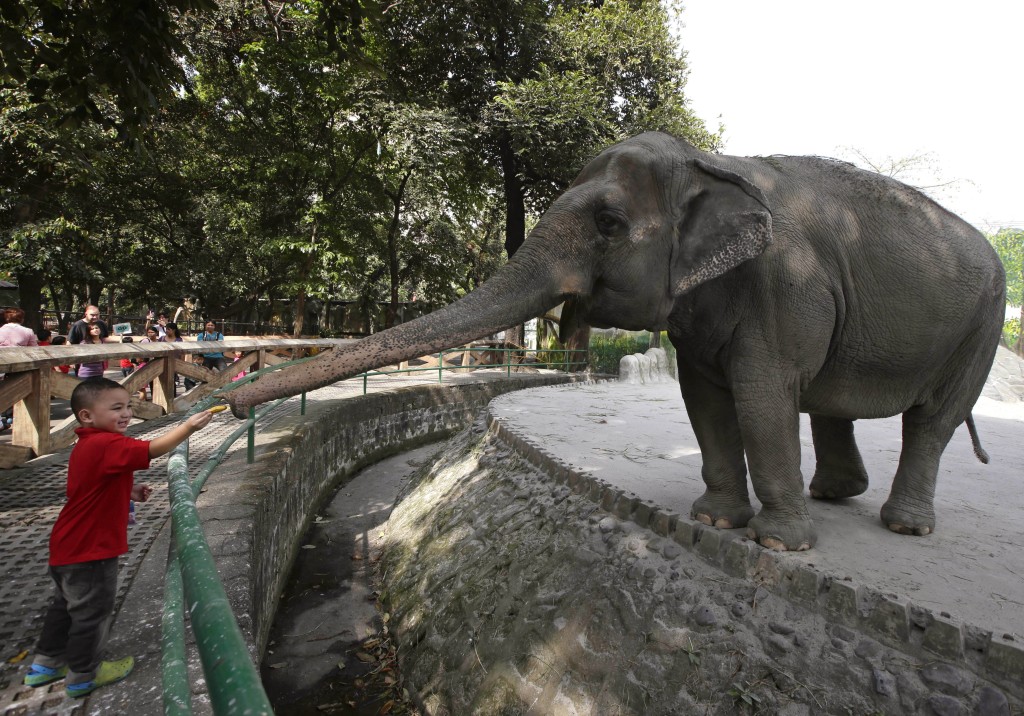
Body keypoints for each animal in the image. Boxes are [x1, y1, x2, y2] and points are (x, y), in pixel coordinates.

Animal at [228, 132, 1003, 553]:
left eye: (607, 223)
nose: (232, 404)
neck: (711, 162)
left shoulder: (785, 288)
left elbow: (761, 396)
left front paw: (777, 543)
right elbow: (704, 398)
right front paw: (715, 518)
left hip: (985, 322)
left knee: (931, 420)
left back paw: (903, 526)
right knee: (832, 403)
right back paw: (836, 495)